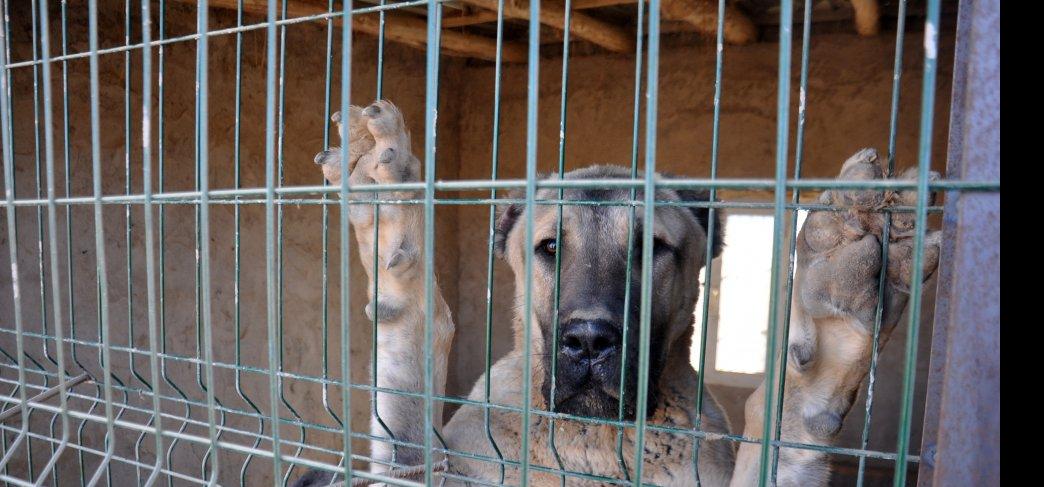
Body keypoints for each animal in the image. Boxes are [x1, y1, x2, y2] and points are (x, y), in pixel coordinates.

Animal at [298, 100, 943, 484]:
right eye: (550, 248)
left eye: (651, 248)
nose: (588, 341)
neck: (594, 438)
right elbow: (405, 417)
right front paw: (386, 205)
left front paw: (834, 315)